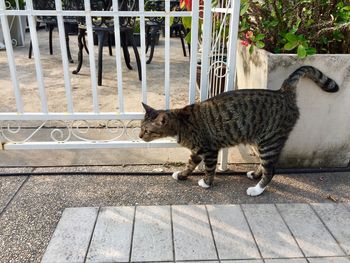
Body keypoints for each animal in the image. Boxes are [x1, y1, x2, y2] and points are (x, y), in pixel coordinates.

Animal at [139, 66, 340, 196]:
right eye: (141, 128)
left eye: (147, 131)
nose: (139, 136)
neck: (181, 122)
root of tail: (282, 92)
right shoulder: (196, 151)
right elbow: (190, 164)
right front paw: (181, 175)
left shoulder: (209, 149)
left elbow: (209, 168)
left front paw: (206, 183)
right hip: (260, 142)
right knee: (264, 165)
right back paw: (255, 175)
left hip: (269, 142)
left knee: (271, 169)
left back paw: (257, 189)